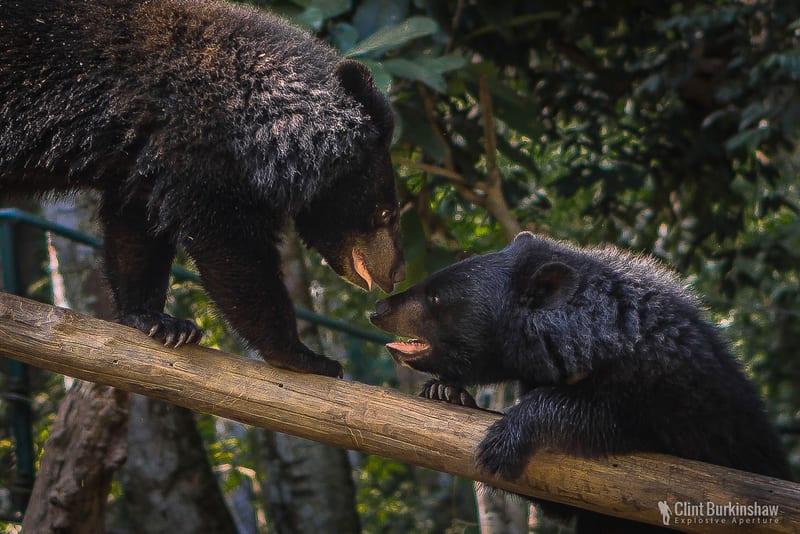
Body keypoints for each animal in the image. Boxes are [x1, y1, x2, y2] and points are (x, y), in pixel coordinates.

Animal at [0, 0, 405, 377]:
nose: (398, 273)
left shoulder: (152, 159)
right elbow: (231, 250)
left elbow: (136, 229)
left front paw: (159, 323)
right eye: (386, 213)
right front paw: (305, 357)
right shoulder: (202, 150)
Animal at [370, 232, 792, 531]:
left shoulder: (669, 398)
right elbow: (564, 501)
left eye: (436, 297)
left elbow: (603, 420)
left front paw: (501, 441)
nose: (378, 308)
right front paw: (446, 392)